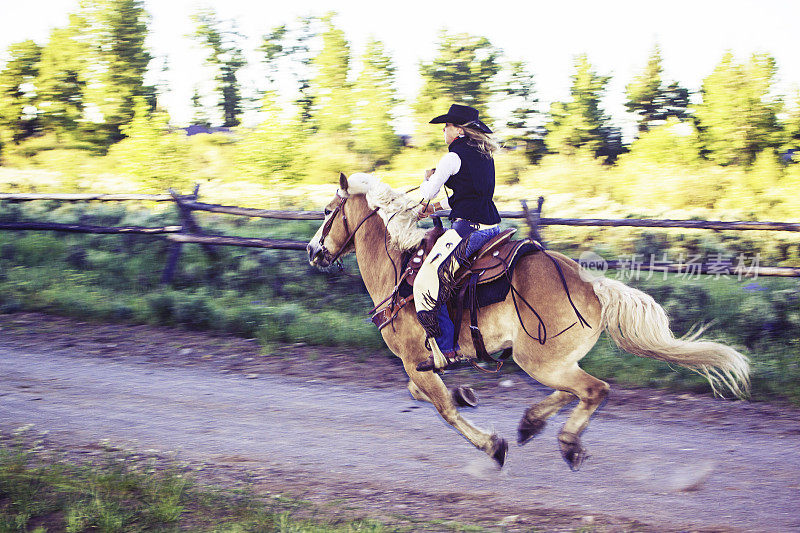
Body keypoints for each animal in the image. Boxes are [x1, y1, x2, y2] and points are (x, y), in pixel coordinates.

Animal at [306, 172, 752, 468]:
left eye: (328, 211)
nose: (313, 251)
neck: (401, 267)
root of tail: (592, 286)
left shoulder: (414, 359)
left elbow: (441, 407)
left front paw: (491, 444)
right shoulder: (421, 364)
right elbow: (427, 395)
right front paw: (466, 394)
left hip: (538, 360)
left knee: (593, 390)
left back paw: (566, 442)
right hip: (550, 359)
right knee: (573, 391)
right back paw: (531, 423)